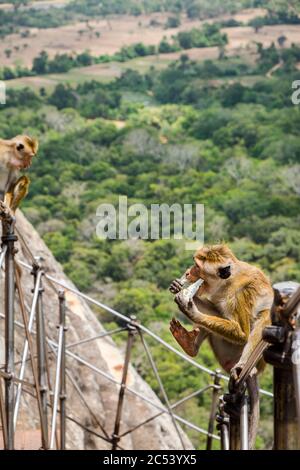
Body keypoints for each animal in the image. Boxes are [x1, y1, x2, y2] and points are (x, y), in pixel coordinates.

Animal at [169, 244, 274, 446]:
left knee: (263, 317)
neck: (228, 282)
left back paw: (242, 366)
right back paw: (189, 344)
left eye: (197, 267)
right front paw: (179, 287)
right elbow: (214, 307)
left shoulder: (243, 294)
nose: (188, 273)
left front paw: (190, 310)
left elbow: (242, 333)